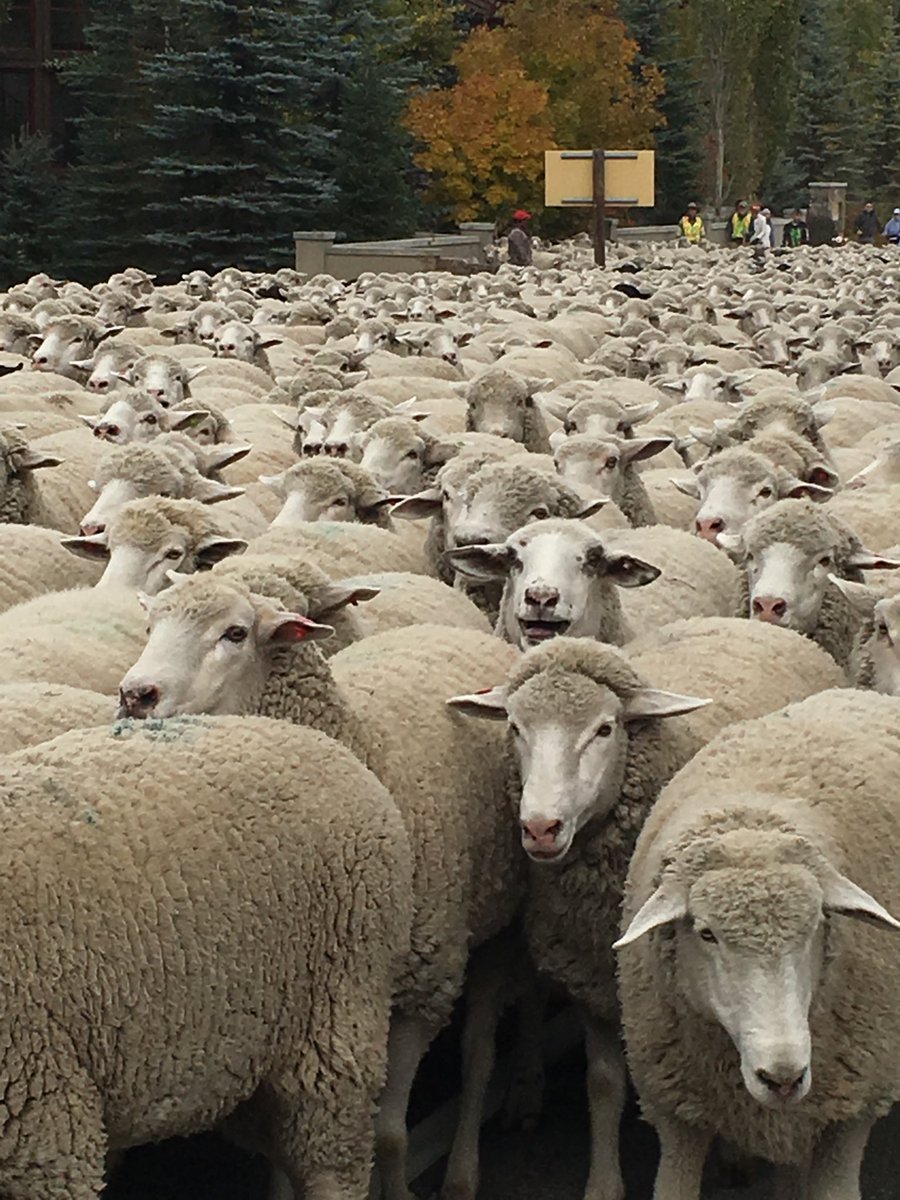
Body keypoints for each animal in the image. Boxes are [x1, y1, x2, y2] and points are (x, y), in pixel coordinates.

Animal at [118, 584, 523, 1200]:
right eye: (150, 625)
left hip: (498, 924)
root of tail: (462, 631)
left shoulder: (417, 990)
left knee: (480, 1054)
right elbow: (285, 1157)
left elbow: (391, 1136)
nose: (135, 695)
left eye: (236, 633)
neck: (364, 746)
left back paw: (466, 1166)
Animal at [615, 688, 900, 1199]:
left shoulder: (851, 1110)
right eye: (706, 933)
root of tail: (860, 691)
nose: (783, 1077)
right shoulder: (677, 1111)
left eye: (817, 924)